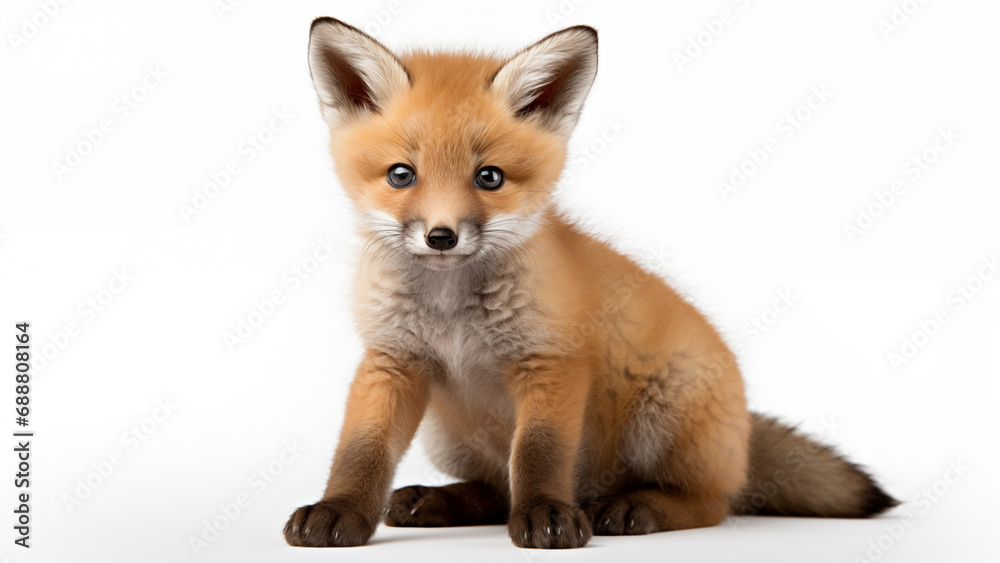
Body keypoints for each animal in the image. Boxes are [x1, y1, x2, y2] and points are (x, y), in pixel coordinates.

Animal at [283, 17, 898, 549]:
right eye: (400, 175)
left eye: (489, 178)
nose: (441, 236)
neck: (452, 309)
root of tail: (743, 432)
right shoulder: (392, 360)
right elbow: (361, 451)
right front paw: (339, 509)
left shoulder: (552, 362)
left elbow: (538, 454)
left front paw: (546, 515)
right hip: (448, 432)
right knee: (495, 488)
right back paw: (441, 500)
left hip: (663, 419)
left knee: (711, 504)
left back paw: (633, 508)